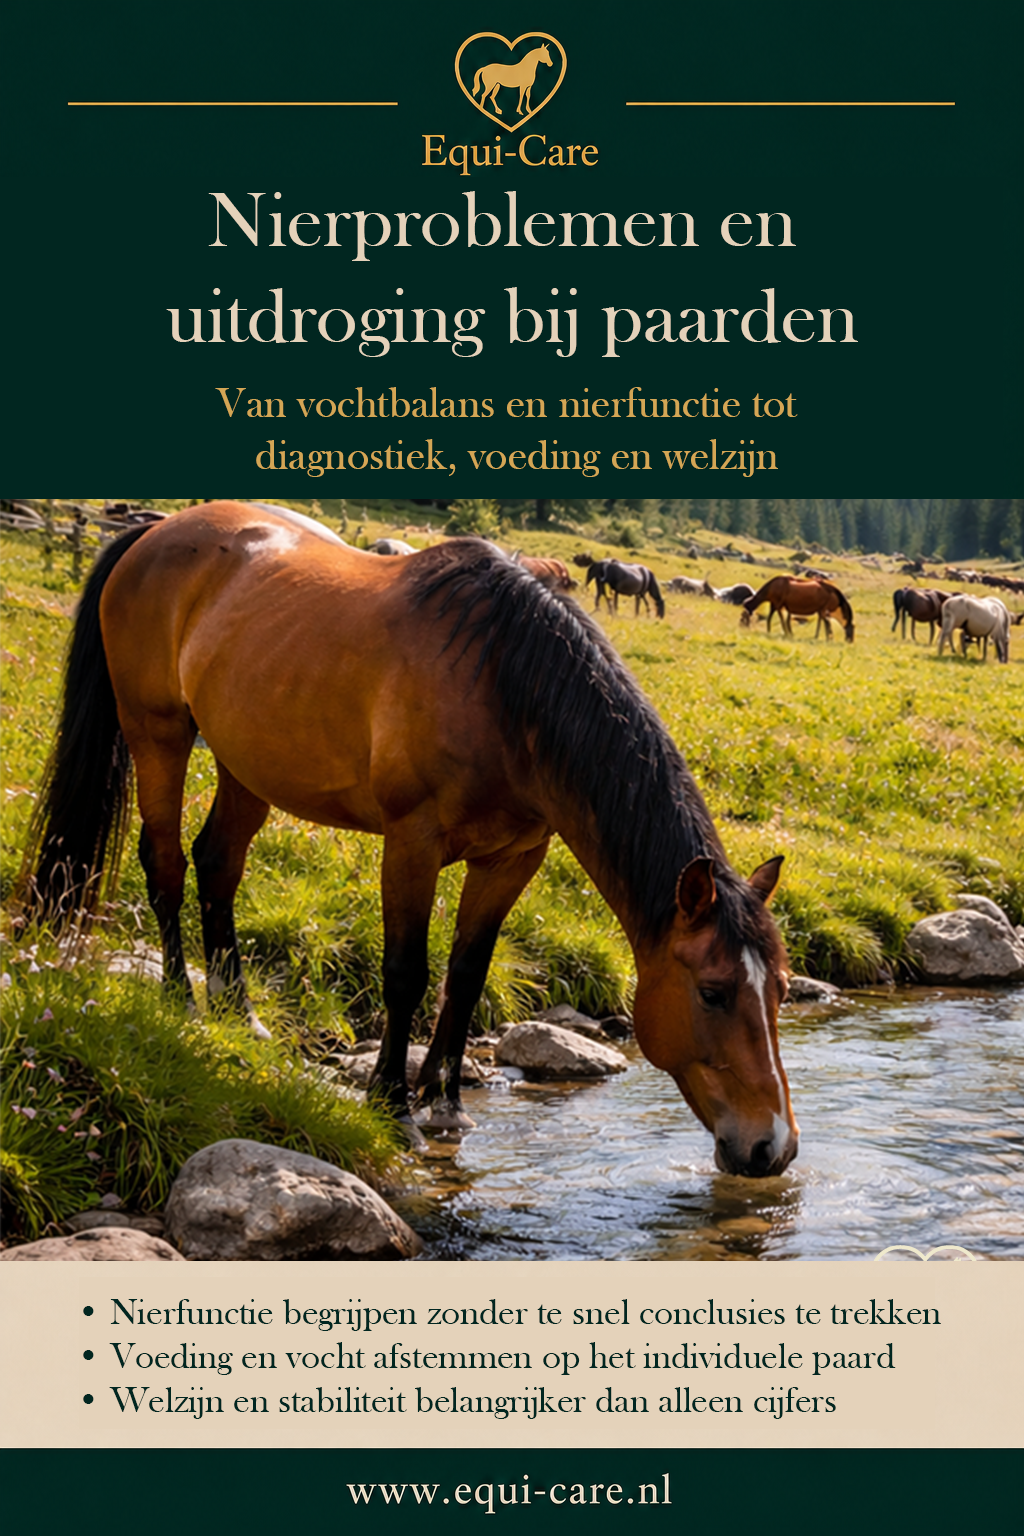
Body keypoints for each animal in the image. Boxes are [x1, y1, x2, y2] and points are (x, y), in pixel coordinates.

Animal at [20, 502, 797, 1178]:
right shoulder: (412, 842)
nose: (773, 1148)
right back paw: (182, 1002)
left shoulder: (513, 859)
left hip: (248, 762)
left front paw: (445, 1100)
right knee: (166, 864)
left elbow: (467, 974)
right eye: (713, 992)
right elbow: (406, 973)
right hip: (158, 733)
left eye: (782, 991)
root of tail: (155, 532)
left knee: (218, 865)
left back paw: (240, 1012)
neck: (502, 687)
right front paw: (393, 1105)